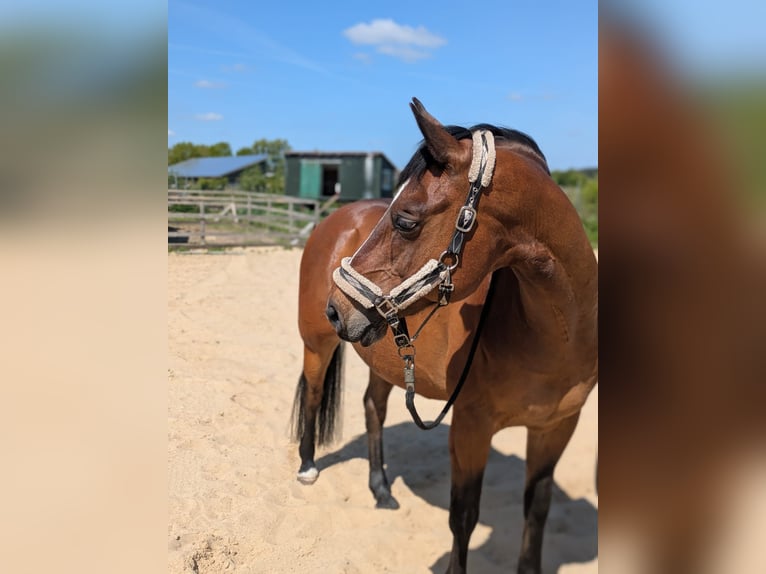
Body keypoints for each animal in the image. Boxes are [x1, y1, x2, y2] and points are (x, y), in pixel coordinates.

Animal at [291, 98, 598, 574]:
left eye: (405, 221)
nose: (336, 309)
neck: (555, 340)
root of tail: (336, 218)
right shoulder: (470, 427)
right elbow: (464, 516)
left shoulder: (558, 426)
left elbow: (538, 508)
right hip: (317, 343)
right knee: (314, 392)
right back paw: (307, 467)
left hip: (383, 354)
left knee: (373, 407)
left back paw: (381, 489)